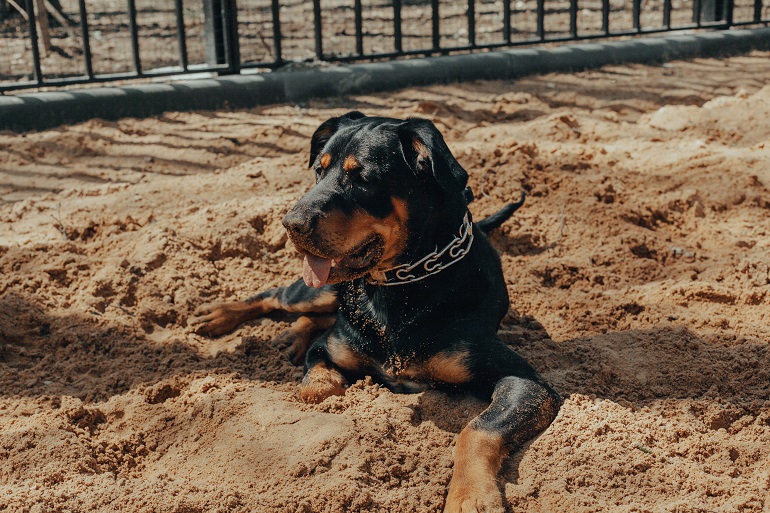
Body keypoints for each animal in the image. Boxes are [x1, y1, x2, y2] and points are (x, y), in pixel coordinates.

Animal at [186, 112, 560, 512]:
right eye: (318, 170)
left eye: (362, 178)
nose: (291, 224)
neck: (398, 288)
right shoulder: (328, 348)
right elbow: (318, 387)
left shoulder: (526, 383)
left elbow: (477, 428)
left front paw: (471, 495)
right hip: (316, 291)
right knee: (278, 296)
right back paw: (223, 317)